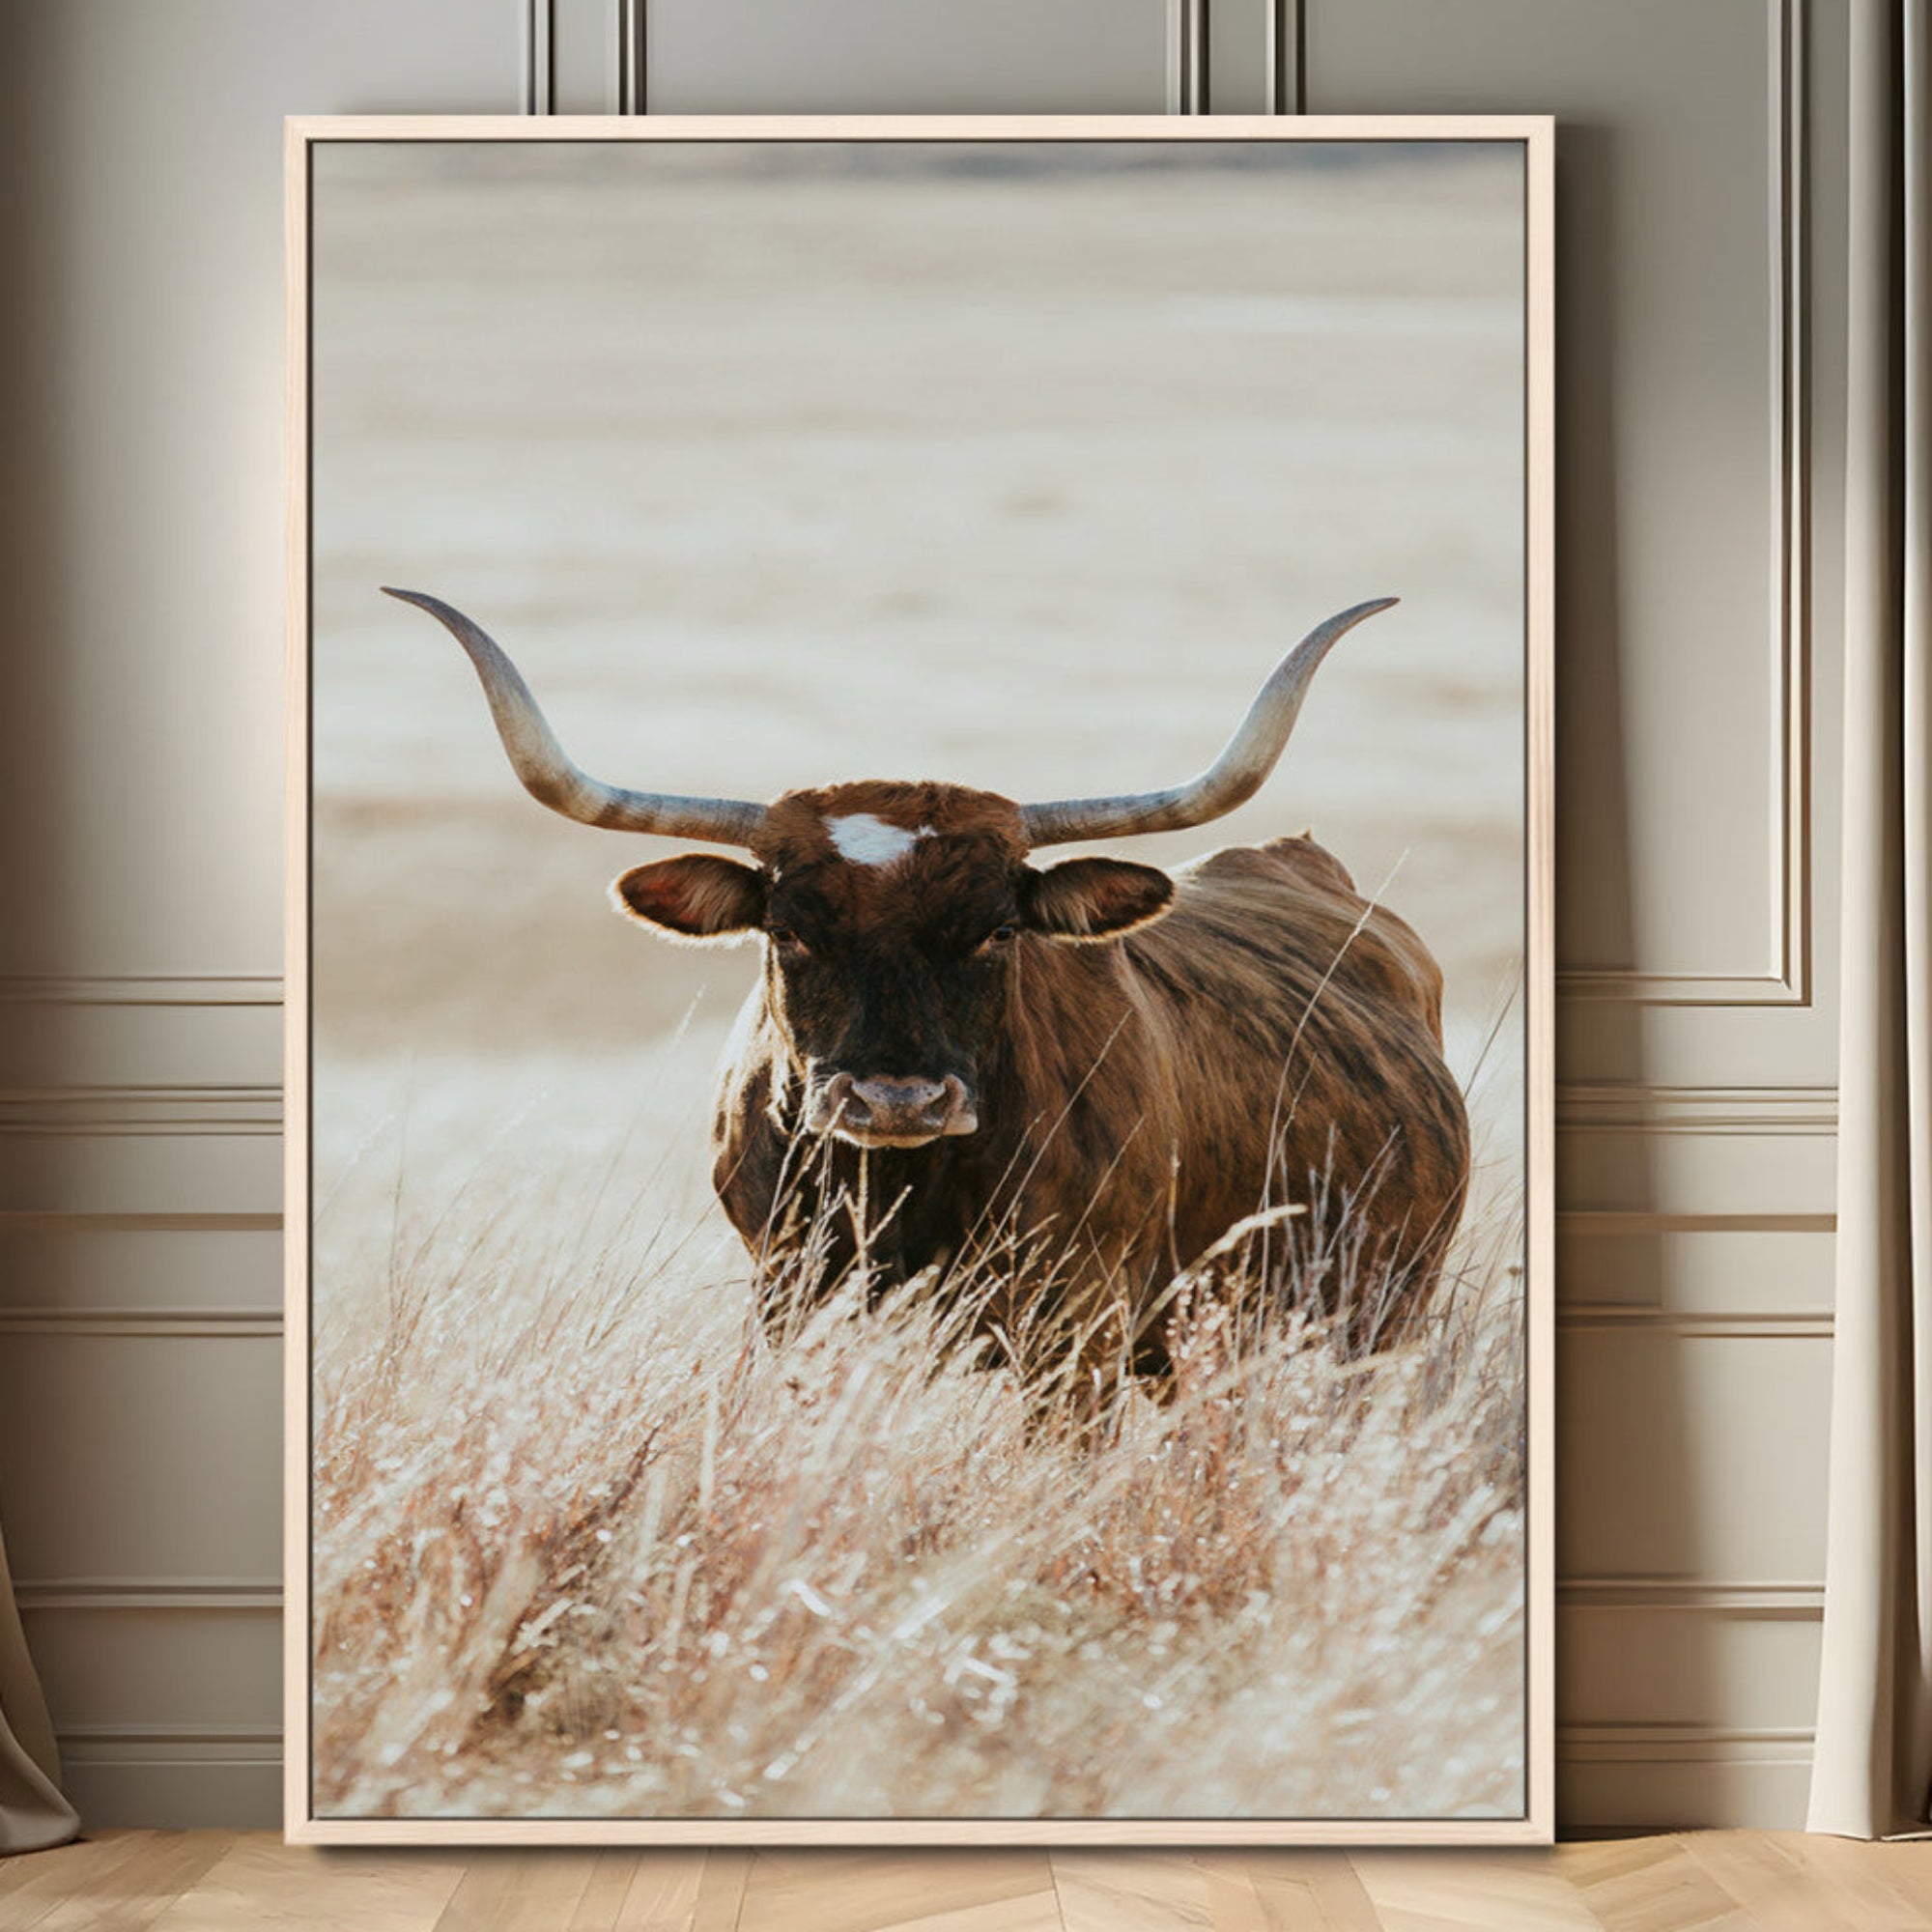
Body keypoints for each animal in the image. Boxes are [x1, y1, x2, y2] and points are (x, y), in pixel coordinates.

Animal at [386, 588, 1470, 1382]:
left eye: (997, 930)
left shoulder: (1077, 1327)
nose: (895, 1100)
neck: (902, 1188)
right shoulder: (789, 1298)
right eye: (789, 929)